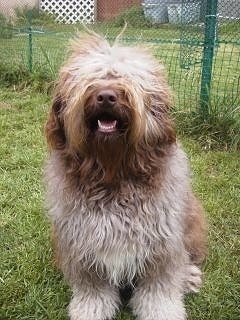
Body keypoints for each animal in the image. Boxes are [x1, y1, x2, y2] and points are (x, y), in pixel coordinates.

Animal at [44, 32, 206, 320]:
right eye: (90, 80)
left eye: (127, 79)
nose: (106, 96)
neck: (114, 176)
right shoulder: (82, 246)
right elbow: (93, 288)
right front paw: (90, 309)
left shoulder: (162, 245)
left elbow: (159, 289)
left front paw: (162, 310)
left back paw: (188, 277)